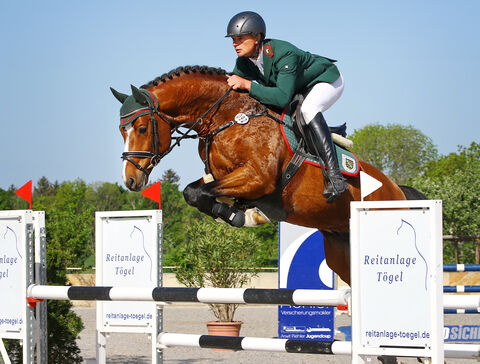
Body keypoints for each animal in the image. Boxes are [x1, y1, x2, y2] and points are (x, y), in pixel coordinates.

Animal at [111, 67, 424, 286]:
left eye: (141, 128)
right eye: (121, 130)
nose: (130, 180)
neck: (229, 117)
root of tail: (397, 190)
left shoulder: (258, 178)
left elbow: (199, 192)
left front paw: (244, 215)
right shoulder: (221, 176)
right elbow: (193, 192)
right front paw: (238, 213)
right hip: (341, 250)